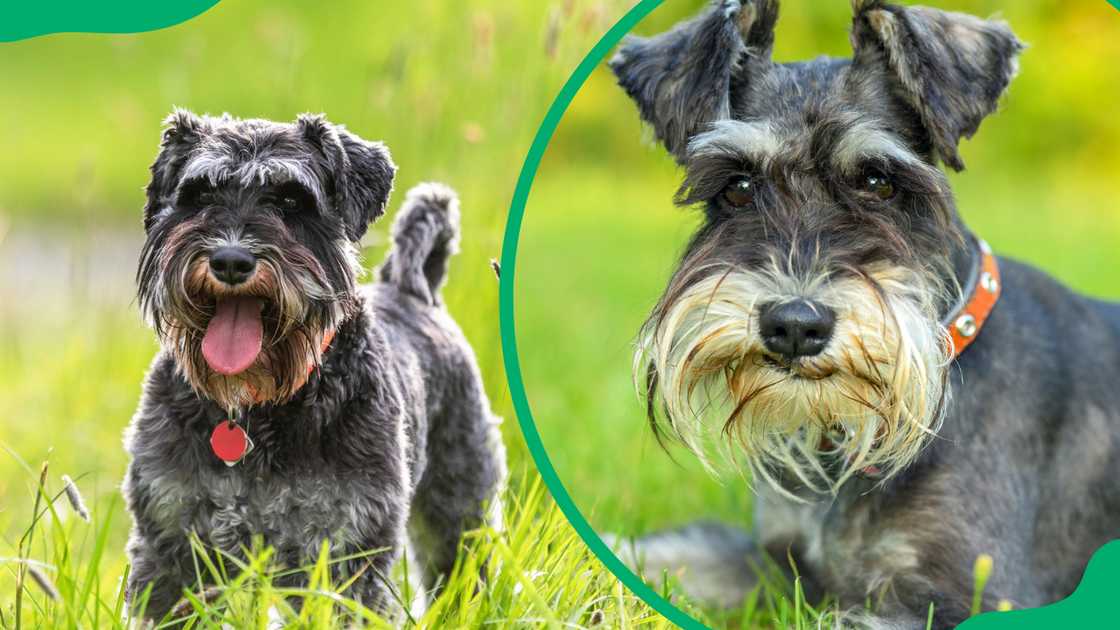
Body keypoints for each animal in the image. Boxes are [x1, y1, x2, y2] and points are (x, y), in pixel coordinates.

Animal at [124, 110, 506, 614]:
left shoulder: (346, 547)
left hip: (458, 513)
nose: (230, 260)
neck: (255, 408)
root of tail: (412, 289)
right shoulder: (172, 542)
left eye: (292, 200)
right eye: (200, 194)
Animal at [613, 2, 1120, 623]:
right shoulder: (776, 567)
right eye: (737, 186)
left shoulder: (973, 596)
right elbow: (684, 555)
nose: (794, 325)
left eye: (879, 181)